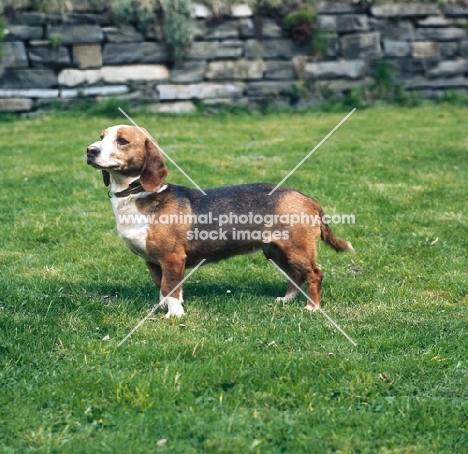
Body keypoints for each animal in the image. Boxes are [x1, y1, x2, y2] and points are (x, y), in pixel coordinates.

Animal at [86, 124, 352, 316]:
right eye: (101, 136)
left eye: (122, 140)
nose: (90, 150)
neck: (138, 194)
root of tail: (306, 198)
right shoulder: (152, 262)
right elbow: (164, 289)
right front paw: (162, 308)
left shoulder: (172, 258)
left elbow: (171, 290)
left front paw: (174, 315)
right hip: (275, 251)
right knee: (295, 276)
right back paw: (286, 300)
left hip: (296, 249)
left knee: (314, 274)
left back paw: (312, 308)